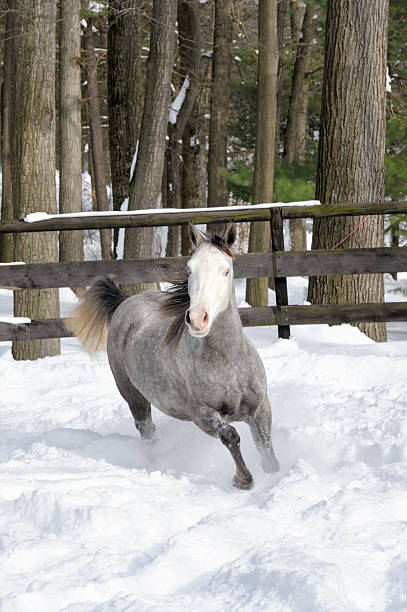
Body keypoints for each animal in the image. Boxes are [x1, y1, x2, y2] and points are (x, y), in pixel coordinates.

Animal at [69, 222, 280, 490]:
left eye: (226, 270)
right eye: (189, 269)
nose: (198, 318)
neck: (228, 363)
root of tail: (124, 302)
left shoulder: (261, 408)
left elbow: (267, 450)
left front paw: (273, 476)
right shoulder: (201, 414)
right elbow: (231, 435)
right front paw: (243, 481)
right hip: (134, 398)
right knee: (147, 431)